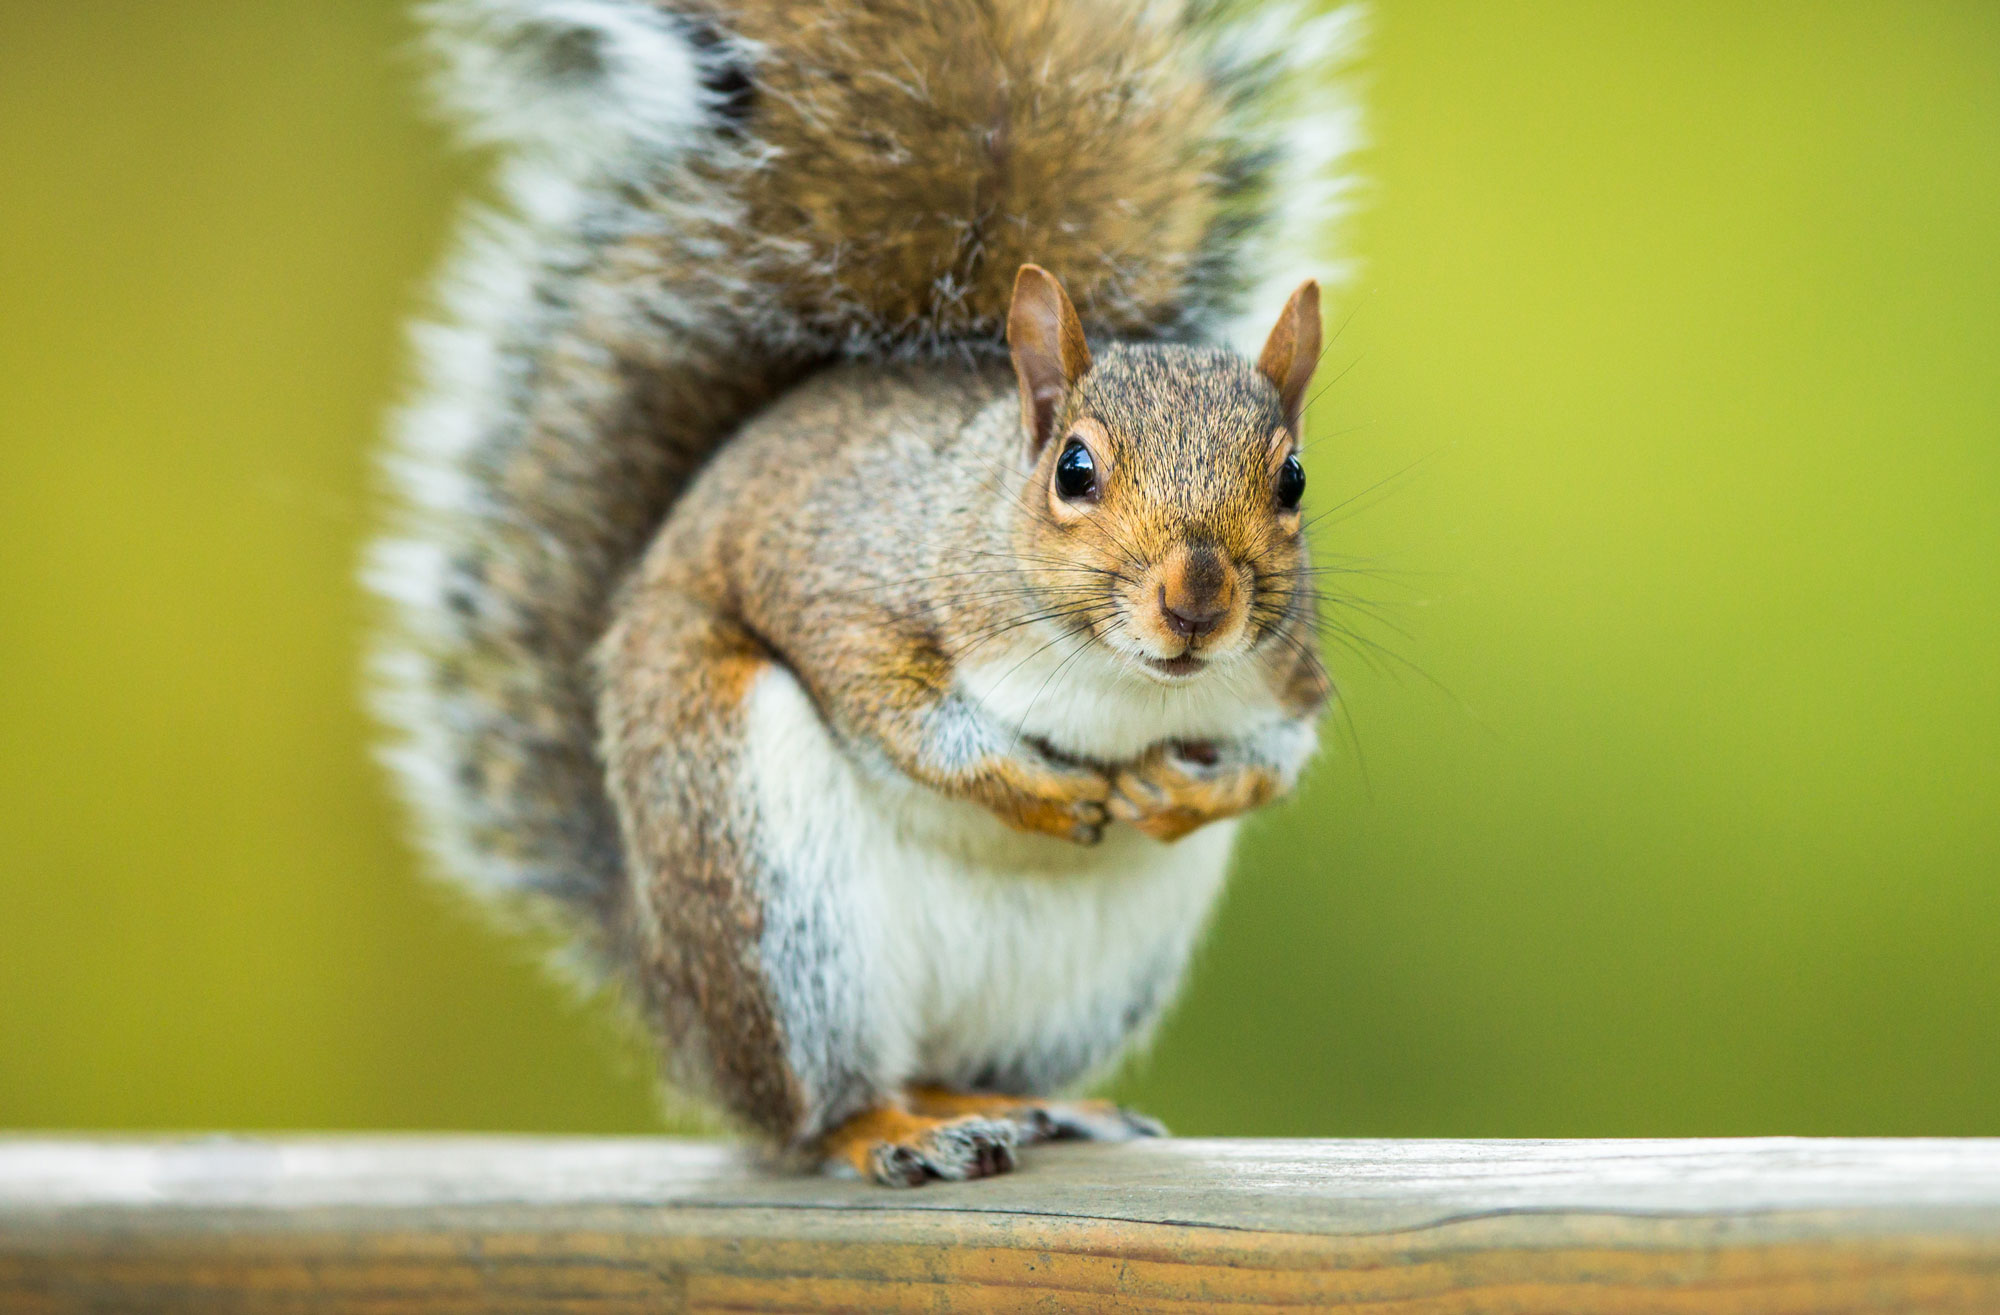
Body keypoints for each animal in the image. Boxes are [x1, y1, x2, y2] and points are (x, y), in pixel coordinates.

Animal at [369, 0, 1360, 1184]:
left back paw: (1017, 1104)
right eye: (1073, 470)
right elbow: (894, 708)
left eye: (1292, 479)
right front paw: (1029, 786)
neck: (1123, 682)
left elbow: (1284, 751)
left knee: (950, 1063)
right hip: (766, 893)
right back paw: (889, 1129)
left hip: (1088, 981)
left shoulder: (1286, 676)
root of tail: (666, 984)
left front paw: (1195, 792)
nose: (1198, 602)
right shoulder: (844, 582)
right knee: (816, 1107)